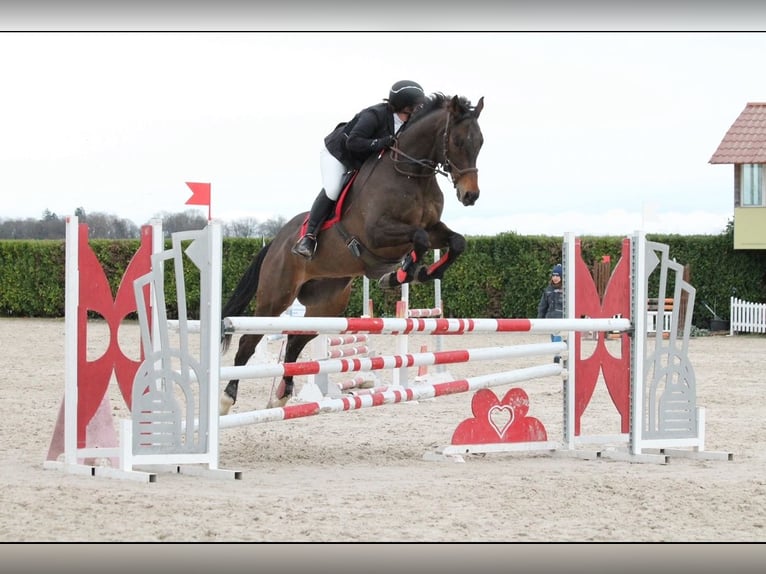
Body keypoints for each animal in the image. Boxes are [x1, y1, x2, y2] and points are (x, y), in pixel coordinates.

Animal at [220, 92, 486, 414]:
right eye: (458, 142)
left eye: (480, 142)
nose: (470, 196)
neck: (413, 175)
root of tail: (276, 242)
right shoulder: (378, 233)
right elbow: (419, 239)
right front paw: (402, 274)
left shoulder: (434, 228)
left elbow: (456, 242)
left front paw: (419, 273)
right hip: (275, 296)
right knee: (248, 341)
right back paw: (227, 398)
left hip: (327, 304)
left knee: (295, 340)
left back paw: (283, 394)